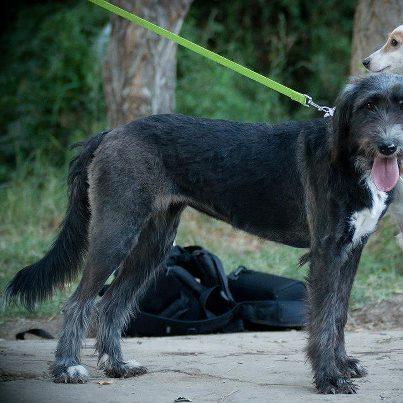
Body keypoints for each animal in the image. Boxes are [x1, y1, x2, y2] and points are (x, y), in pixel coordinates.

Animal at [5, 75, 403, 394]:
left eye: (401, 105)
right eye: (368, 106)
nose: (389, 146)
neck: (351, 158)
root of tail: (110, 133)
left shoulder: (351, 251)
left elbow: (339, 314)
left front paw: (343, 364)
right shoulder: (326, 253)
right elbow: (322, 319)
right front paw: (329, 378)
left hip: (154, 246)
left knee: (111, 303)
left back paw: (117, 365)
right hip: (116, 234)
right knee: (78, 302)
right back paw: (67, 367)